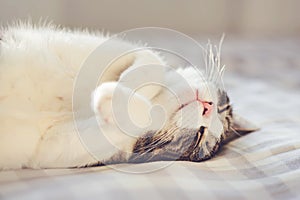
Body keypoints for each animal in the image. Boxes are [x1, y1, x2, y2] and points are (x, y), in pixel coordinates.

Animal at [0, 22, 258, 170]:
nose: (208, 106)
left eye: (199, 137)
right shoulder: (116, 49)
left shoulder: (50, 146)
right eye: (223, 106)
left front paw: (117, 101)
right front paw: (123, 87)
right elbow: (151, 60)